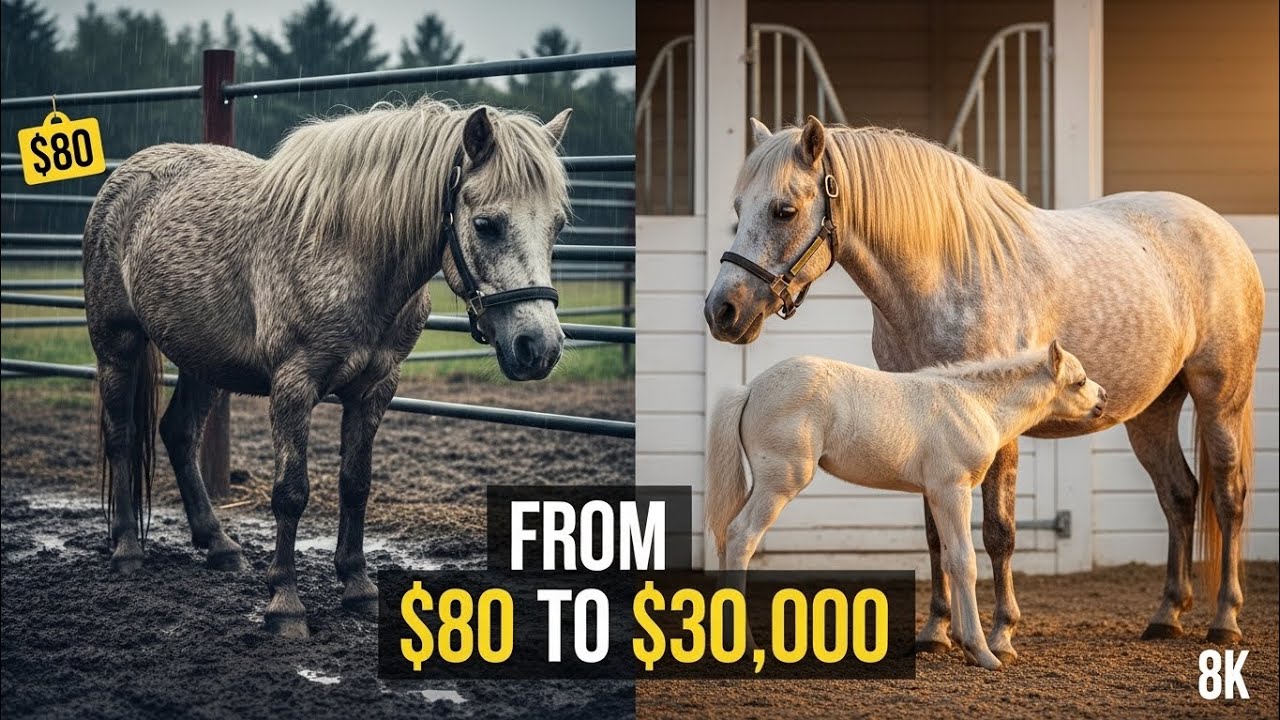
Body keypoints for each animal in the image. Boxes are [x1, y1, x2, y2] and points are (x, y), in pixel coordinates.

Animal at [83, 99, 573, 638]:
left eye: (558, 226)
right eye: (486, 224)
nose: (539, 347)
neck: (350, 251)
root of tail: (125, 176)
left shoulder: (375, 388)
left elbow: (355, 484)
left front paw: (357, 587)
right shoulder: (293, 387)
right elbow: (291, 493)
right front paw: (285, 603)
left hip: (203, 362)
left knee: (179, 433)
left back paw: (219, 545)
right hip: (117, 344)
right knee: (121, 437)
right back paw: (127, 550)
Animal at [707, 342, 1108, 669]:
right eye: (1079, 381)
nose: (1104, 398)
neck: (976, 405)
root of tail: (750, 388)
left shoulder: (937, 494)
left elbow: (948, 559)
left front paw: (962, 643)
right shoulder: (953, 489)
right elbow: (965, 561)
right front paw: (982, 652)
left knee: (727, 535)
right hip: (781, 481)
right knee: (741, 536)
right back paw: (745, 646)